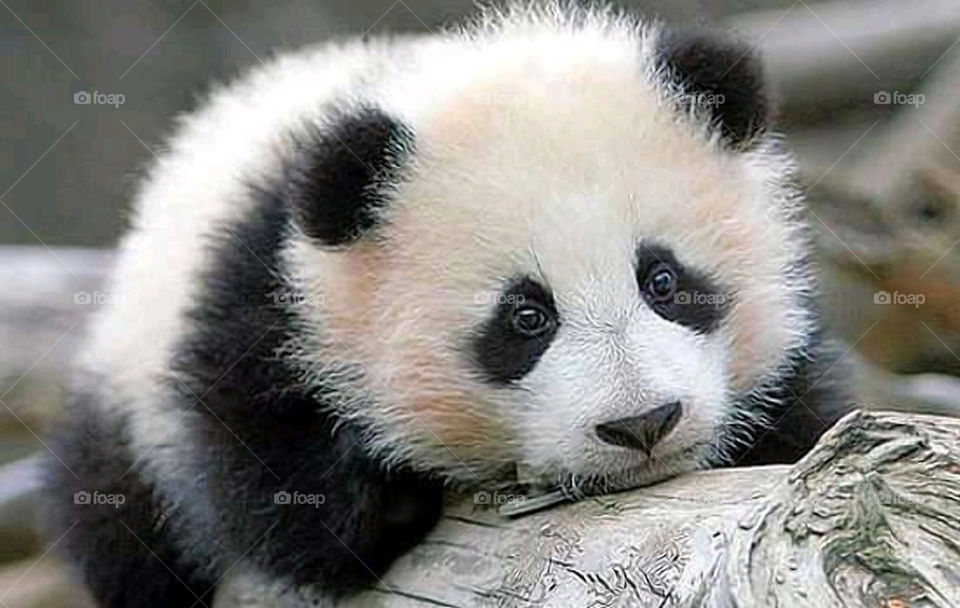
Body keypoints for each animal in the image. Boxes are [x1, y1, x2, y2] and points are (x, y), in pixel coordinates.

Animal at [44, 3, 849, 606]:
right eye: (526, 318)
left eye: (663, 281)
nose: (642, 424)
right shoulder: (260, 288)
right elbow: (274, 490)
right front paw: (385, 483)